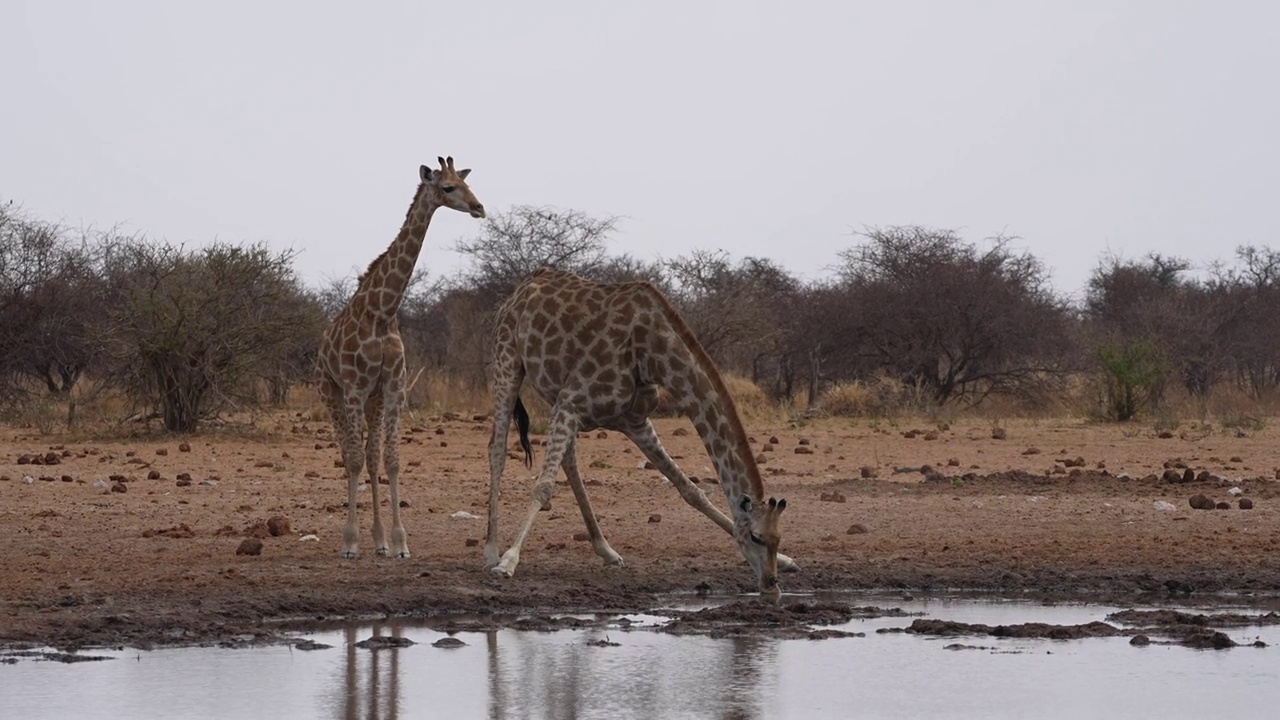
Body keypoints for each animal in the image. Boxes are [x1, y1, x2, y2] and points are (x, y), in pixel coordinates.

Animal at [314, 156, 483, 558]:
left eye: (467, 183)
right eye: (448, 187)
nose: (479, 208)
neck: (381, 311)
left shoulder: (392, 389)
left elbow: (390, 460)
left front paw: (399, 542)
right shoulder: (355, 388)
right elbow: (354, 459)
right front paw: (350, 542)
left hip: (372, 401)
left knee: (371, 455)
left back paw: (378, 540)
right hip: (331, 393)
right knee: (349, 454)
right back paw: (357, 539)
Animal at [481, 266, 793, 597]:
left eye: (778, 538)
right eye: (757, 537)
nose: (771, 586)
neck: (653, 354)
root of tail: (523, 286)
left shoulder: (634, 421)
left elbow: (691, 490)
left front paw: (787, 561)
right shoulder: (571, 401)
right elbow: (542, 487)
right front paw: (509, 560)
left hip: (554, 393)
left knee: (569, 460)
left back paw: (607, 550)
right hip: (507, 361)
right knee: (497, 449)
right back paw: (491, 551)